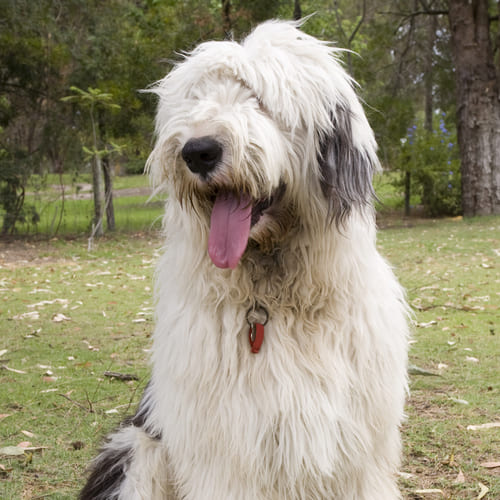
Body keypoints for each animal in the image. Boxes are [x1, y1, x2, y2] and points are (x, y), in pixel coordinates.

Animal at [81, 20, 410, 500]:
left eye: (260, 100)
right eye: (196, 99)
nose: (198, 151)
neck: (274, 300)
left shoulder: (356, 450)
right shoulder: (227, 450)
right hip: (136, 455)